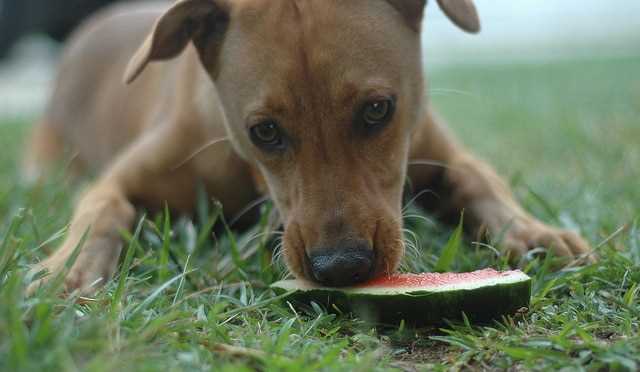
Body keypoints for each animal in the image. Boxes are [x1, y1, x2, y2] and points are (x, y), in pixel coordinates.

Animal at [23, 0, 596, 296]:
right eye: (264, 132)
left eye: (377, 109)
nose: (341, 268)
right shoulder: (120, 178)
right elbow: (102, 206)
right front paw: (69, 267)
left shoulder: (440, 149)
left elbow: (480, 178)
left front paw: (532, 231)